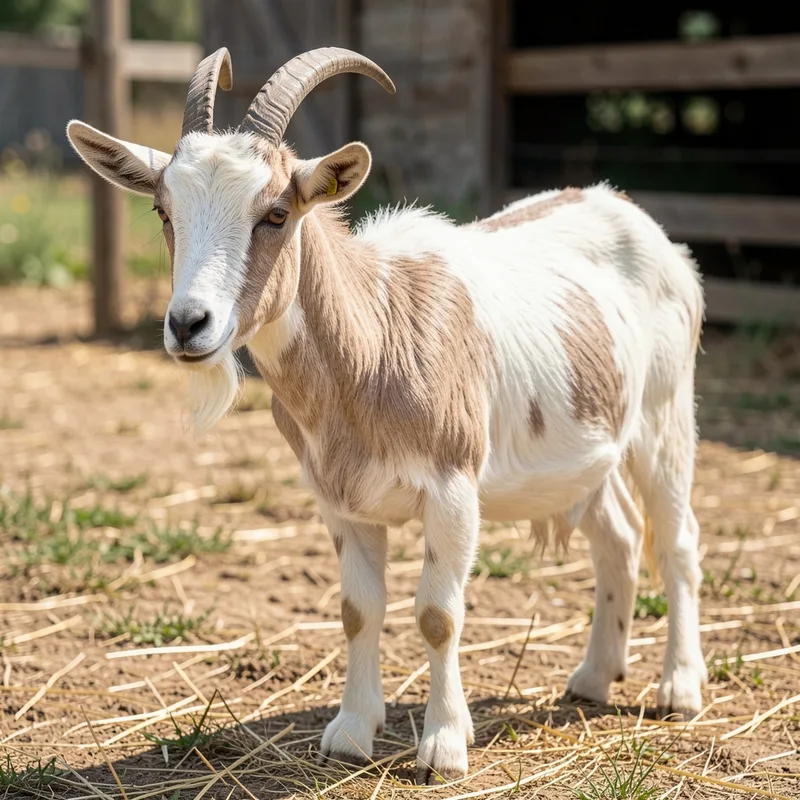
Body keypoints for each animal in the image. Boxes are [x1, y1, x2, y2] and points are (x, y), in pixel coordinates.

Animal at [67, 47, 706, 783]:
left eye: (276, 212)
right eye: (162, 208)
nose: (187, 324)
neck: (375, 335)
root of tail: (627, 210)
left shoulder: (453, 488)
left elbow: (437, 615)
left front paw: (442, 748)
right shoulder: (338, 500)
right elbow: (356, 610)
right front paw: (350, 732)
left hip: (665, 414)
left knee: (676, 538)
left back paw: (680, 688)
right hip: (585, 454)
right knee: (620, 539)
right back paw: (594, 678)